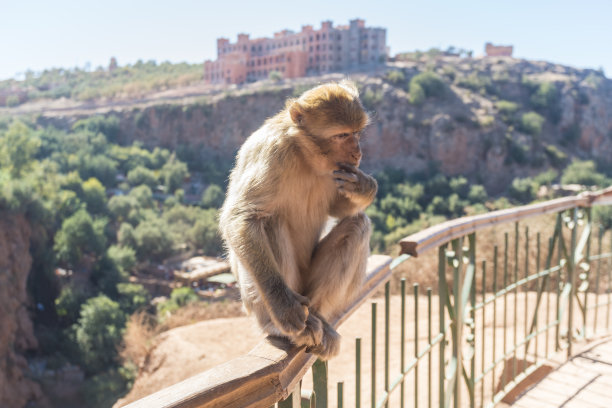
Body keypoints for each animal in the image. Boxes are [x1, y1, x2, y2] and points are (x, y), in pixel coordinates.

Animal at [218, 80, 376, 360]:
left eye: (356, 133)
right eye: (341, 135)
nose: (358, 154)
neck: (303, 152)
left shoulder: (338, 171)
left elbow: (340, 209)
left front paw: (364, 187)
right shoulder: (271, 153)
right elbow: (242, 216)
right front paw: (282, 306)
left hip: (308, 289)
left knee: (358, 225)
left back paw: (321, 317)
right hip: (265, 298)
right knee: (268, 221)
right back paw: (280, 325)